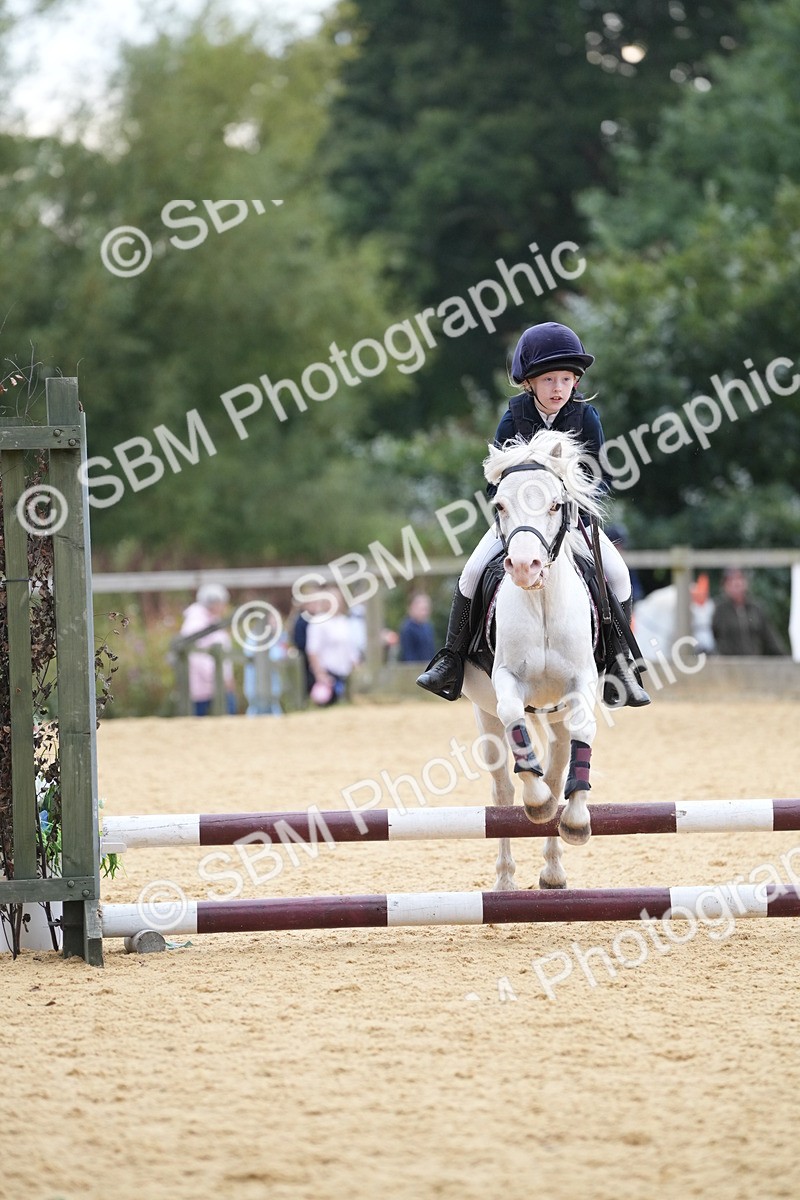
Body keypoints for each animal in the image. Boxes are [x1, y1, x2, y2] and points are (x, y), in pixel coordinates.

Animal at [460, 429, 606, 892]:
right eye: (500, 505)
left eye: (556, 504)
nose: (526, 567)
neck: (540, 600)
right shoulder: (506, 681)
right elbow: (515, 721)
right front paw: (537, 801)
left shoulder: (581, 684)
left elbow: (584, 733)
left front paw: (576, 821)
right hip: (483, 715)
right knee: (502, 792)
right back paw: (506, 880)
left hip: (555, 716)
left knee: (559, 772)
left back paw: (554, 872)